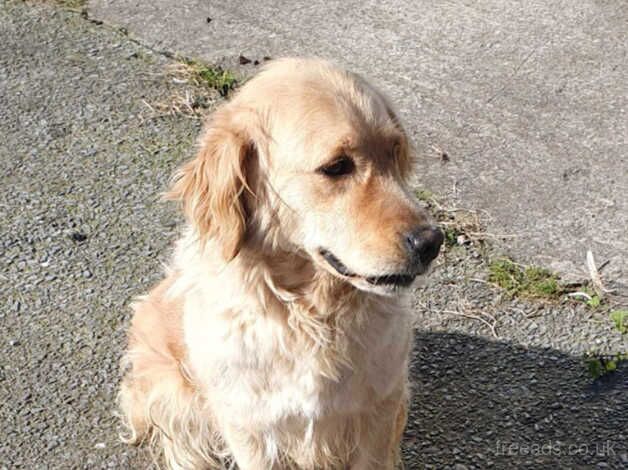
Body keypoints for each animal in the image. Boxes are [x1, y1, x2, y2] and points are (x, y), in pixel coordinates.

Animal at [118, 57, 442, 468]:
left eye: (395, 152)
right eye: (337, 166)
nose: (431, 242)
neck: (309, 315)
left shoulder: (379, 411)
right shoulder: (249, 427)